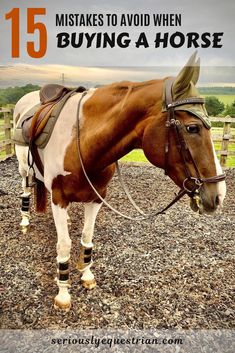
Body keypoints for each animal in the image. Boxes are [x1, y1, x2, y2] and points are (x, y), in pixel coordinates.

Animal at [12, 51, 226, 308]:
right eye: (193, 128)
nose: (219, 193)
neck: (81, 141)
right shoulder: (59, 198)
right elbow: (64, 244)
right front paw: (63, 294)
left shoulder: (96, 198)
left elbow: (87, 237)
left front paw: (87, 274)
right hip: (24, 168)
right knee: (25, 189)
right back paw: (24, 220)